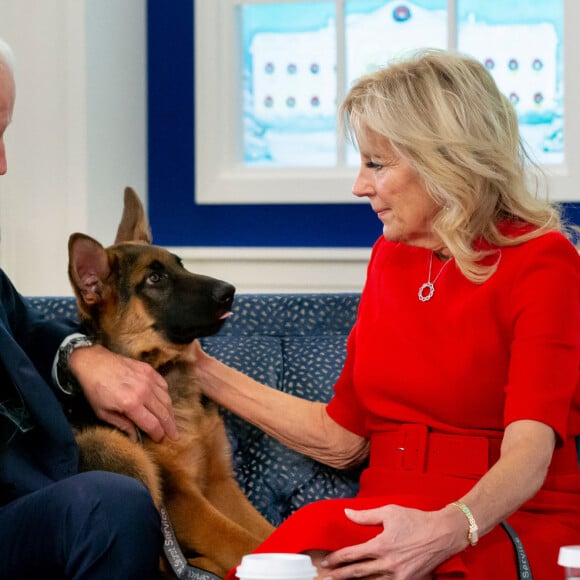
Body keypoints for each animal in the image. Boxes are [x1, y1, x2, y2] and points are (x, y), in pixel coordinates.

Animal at [67, 188, 276, 576]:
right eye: (154, 280)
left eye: (181, 265)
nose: (229, 291)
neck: (166, 371)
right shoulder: (182, 499)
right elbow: (243, 541)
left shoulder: (218, 482)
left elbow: (266, 531)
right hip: (115, 448)